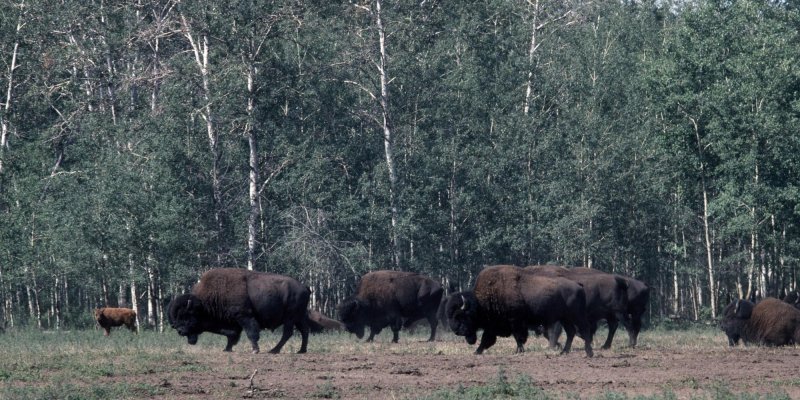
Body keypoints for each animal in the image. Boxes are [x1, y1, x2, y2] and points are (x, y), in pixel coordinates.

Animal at [166, 268, 310, 354]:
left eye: (185, 315)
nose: (180, 331)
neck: (205, 303)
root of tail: (304, 287)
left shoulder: (244, 317)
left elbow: (251, 333)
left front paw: (255, 350)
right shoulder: (233, 323)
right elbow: (232, 336)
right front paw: (227, 349)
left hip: (290, 318)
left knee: (288, 333)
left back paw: (274, 350)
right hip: (299, 317)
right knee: (304, 331)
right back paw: (301, 350)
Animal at [444, 266, 592, 356]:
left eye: (461, 316)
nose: (456, 331)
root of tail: (578, 285)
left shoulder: (515, 321)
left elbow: (518, 337)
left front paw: (519, 350)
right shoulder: (493, 325)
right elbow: (486, 339)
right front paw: (477, 351)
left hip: (576, 316)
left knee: (584, 330)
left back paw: (588, 352)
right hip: (565, 319)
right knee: (571, 332)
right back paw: (564, 352)